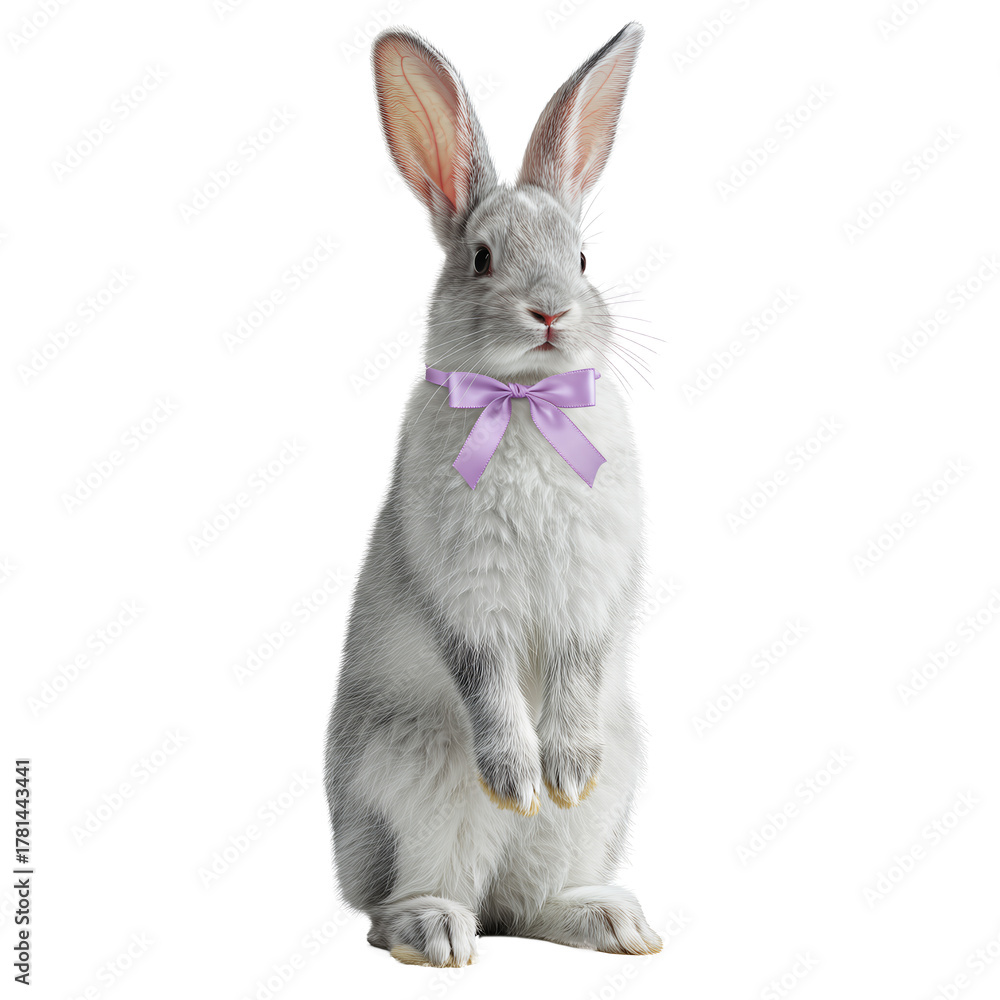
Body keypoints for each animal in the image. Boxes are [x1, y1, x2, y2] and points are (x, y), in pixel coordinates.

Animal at [324, 22, 661, 967]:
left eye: (580, 258)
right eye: (481, 259)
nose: (550, 311)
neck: (523, 400)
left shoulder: (592, 595)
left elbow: (578, 664)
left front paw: (563, 771)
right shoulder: (467, 599)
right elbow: (487, 679)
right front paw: (520, 774)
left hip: (600, 808)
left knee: (536, 903)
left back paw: (614, 922)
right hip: (412, 784)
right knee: (401, 903)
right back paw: (437, 932)